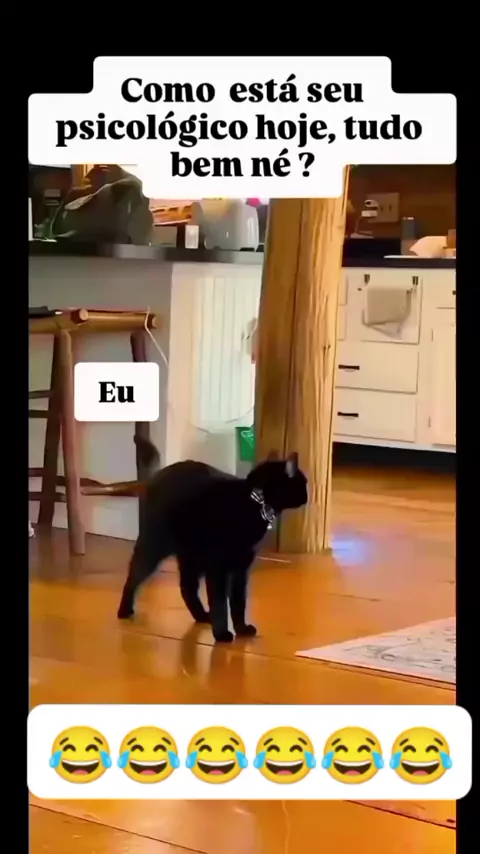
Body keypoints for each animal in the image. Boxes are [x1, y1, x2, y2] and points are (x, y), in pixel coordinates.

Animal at [117, 437, 308, 643]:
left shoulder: (241, 567)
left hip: (192, 556)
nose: (308, 494)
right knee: (134, 575)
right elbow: (219, 602)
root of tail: (158, 474)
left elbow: (239, 601)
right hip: (157, 545)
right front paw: (222, 633)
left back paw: (201, 616)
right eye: (304, 483)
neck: (255, 499)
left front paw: (241, 629)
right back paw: (124, 610)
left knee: (187, 586)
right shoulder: (218, 567)